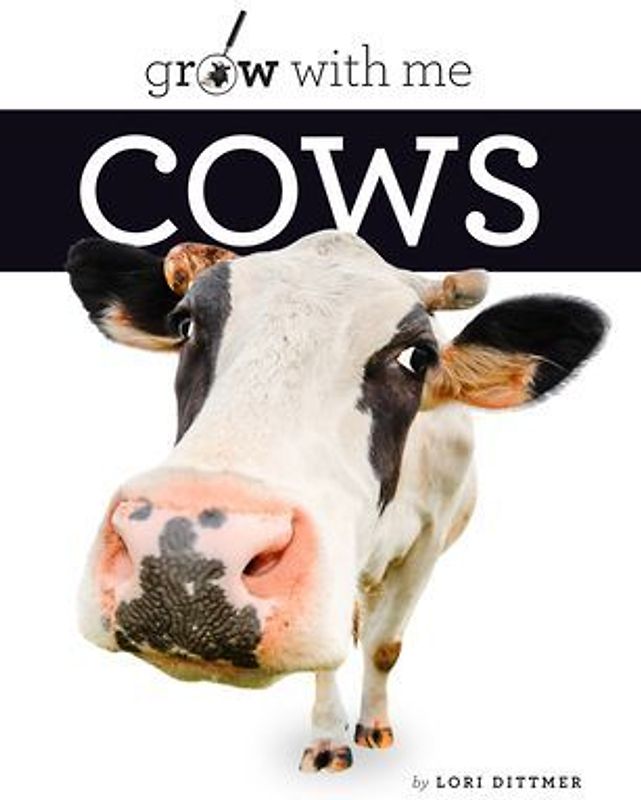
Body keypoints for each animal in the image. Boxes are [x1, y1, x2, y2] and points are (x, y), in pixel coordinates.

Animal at [66, 230, 606, 773]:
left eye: (418, 357)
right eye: (186, 324)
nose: (184, 562)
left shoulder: (427, 543)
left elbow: (384, 646)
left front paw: (374, 726)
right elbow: (330, 654)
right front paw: (329, 738)